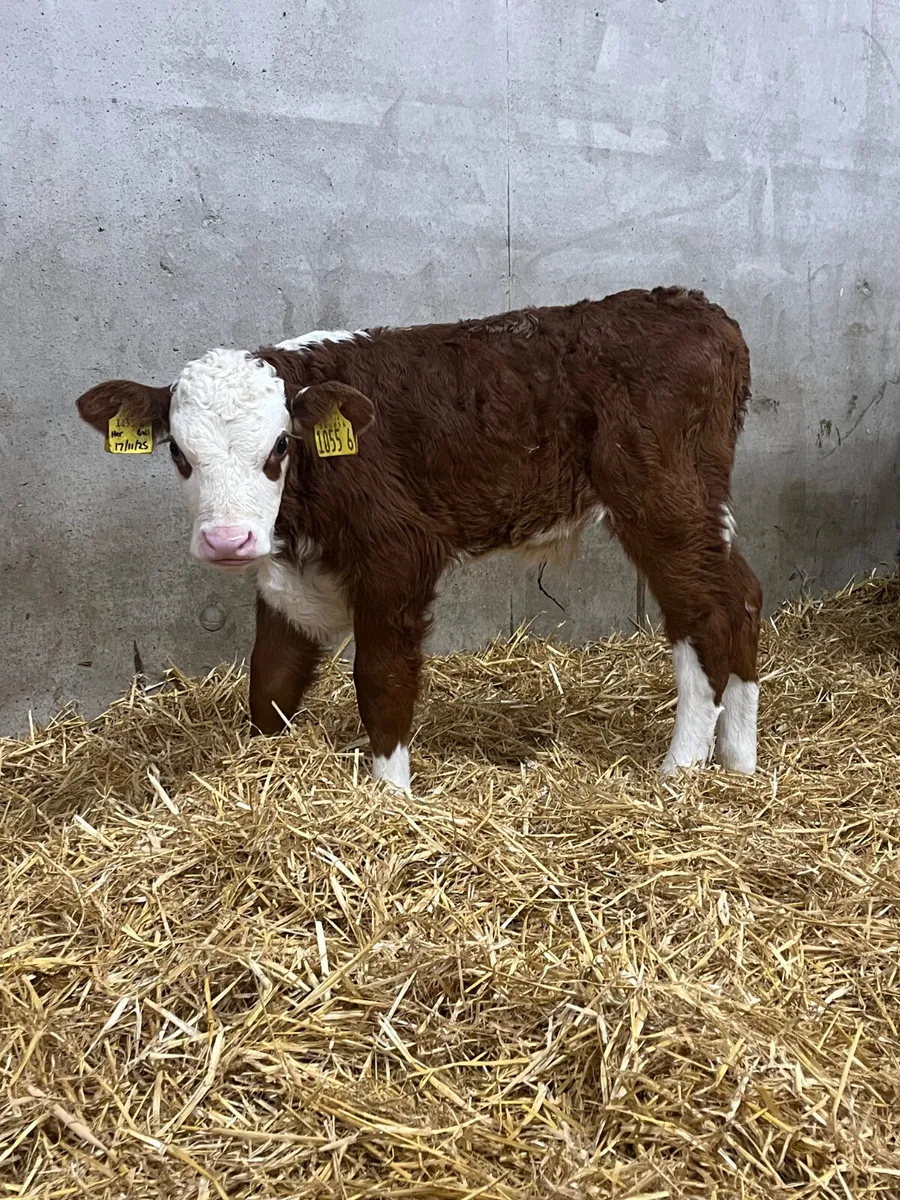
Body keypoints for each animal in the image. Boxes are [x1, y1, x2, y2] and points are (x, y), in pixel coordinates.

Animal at [75, 288, 762, 791]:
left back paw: (680, 771)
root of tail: (702, 311)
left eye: (278, 447)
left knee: (703, 615)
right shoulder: (292, 579)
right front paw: (261, 770)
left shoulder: (397, 552)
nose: (227, 540)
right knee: (743, 595)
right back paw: (740, 763)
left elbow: (381, 677)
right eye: (179, 454)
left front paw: (390, 796)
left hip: (660, 499)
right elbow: (269, 680)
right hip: (705, 502)